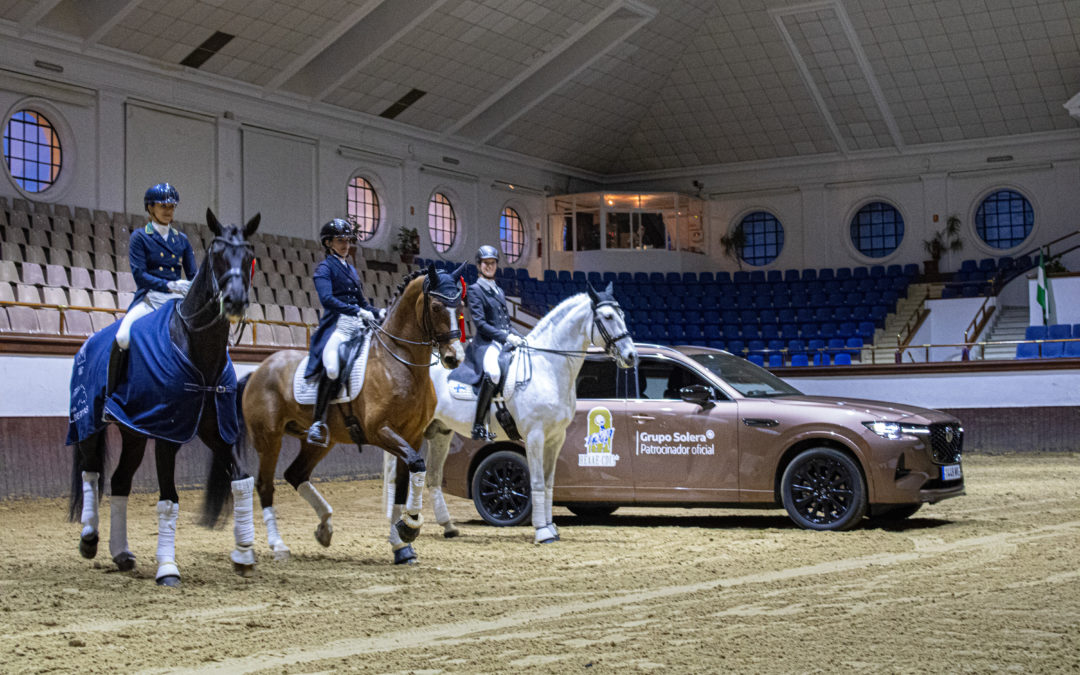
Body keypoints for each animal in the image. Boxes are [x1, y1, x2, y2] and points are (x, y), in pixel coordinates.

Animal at [68, 209, 260, 583]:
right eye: (217, 255)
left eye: (248, 257)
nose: (235, 302)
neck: (198, 349)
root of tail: (87, 344)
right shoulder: (167, 436)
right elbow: (169, 500)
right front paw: (168, 568)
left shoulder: (218, 433)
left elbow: (242, 479)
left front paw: (244, 553)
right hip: (88, 425)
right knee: (90, 474)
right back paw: (89, 539)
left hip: (135, 432)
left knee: (120, 481)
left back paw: (122, 553)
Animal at [236, 263, 464, 561]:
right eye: (436, 307)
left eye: (460, 306)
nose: (454, 357)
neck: (399, 364)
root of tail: (259, 369)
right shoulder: (380, 431)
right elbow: (416, 467)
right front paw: (410, 527)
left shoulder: (412, 436)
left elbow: (404, 485)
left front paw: (402, 544)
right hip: (268, 439)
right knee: (265, 485)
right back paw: (279, 546)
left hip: (319, 442)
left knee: (296, 475)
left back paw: (325, 527)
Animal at [386, 280, 635, 544]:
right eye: (608, 317)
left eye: (622, 315)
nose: (631, 355)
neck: (547, 367)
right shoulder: (535, 435)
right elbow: (536, 481)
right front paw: (542, 531)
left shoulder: (556, 437)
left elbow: (549, 483)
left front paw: (552, 527)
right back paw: (400, 526)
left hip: (440, 432)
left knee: (432, 476)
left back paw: (448, 526)